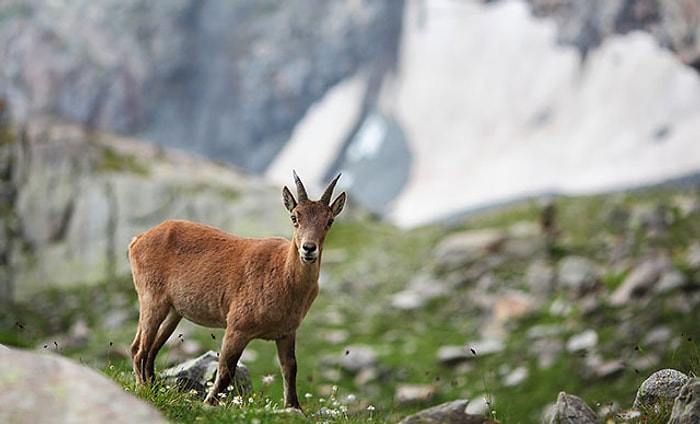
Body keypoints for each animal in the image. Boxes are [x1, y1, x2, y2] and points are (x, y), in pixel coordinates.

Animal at [129, 171, 348, 410]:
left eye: (329, 220)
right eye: (294, 217)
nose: (308, 249)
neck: (284, 276)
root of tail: (138, 239)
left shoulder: (287, 332)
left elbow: (290, 368)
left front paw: (294, 408)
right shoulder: (237, 326)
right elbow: (226, 370)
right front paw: (209, 404)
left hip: (173, 311)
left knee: (151, 350)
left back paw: (153, 388)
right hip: (151, 299)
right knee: (138, 349)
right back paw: (143, 390)